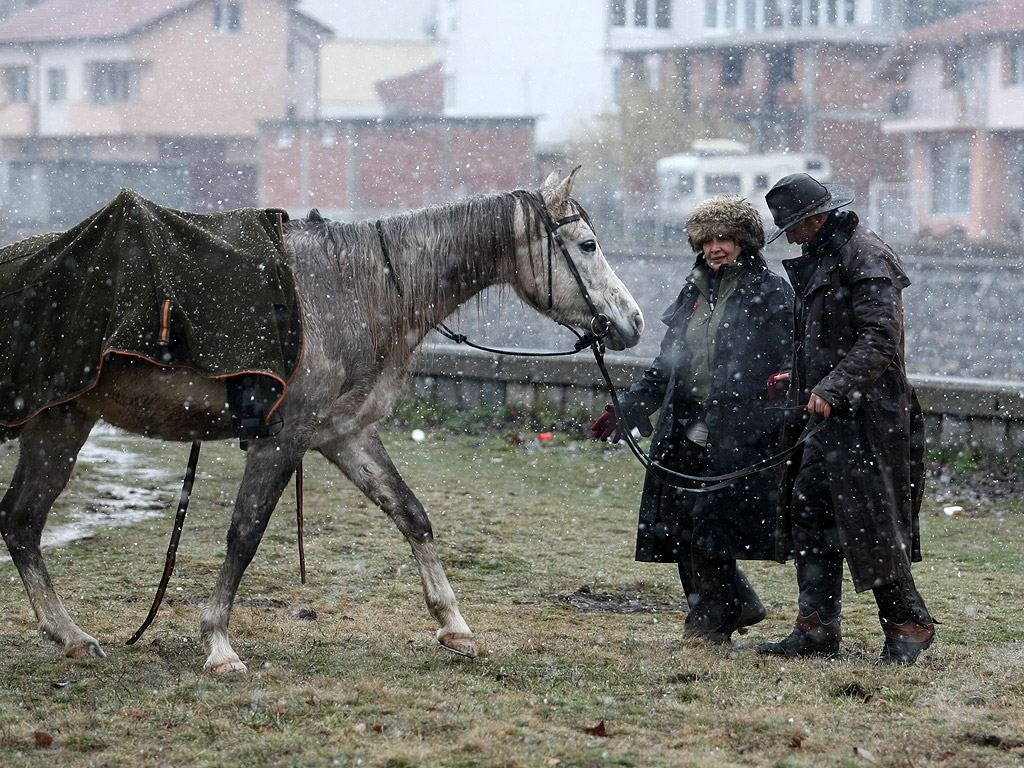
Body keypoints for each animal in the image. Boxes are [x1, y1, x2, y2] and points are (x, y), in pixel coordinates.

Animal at [0, 167, 638, 671]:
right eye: (586, 244)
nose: (632, 322)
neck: (352, 290)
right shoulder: (283, 439)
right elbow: (245, 533)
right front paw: (218, 645)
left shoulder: (344, 435)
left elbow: (411, 514)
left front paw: (453, 625)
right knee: (23, 520)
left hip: (58, 425)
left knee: (21, 520)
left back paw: (72, 637)